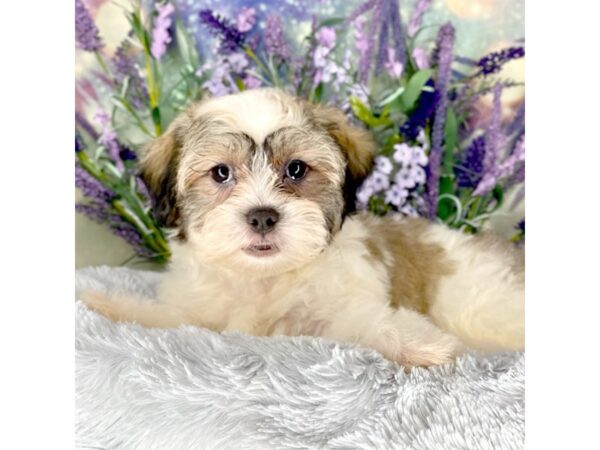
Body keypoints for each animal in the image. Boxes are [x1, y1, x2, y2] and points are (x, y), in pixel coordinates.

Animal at [81, 89, 524, 370]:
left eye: (296, 169)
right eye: (221, 173)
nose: (262, 216)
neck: (263, 279)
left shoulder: (334, 311)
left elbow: (366, 322)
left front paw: (420, 344)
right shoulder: (198, 312)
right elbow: (166, 318)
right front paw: (104, 305)